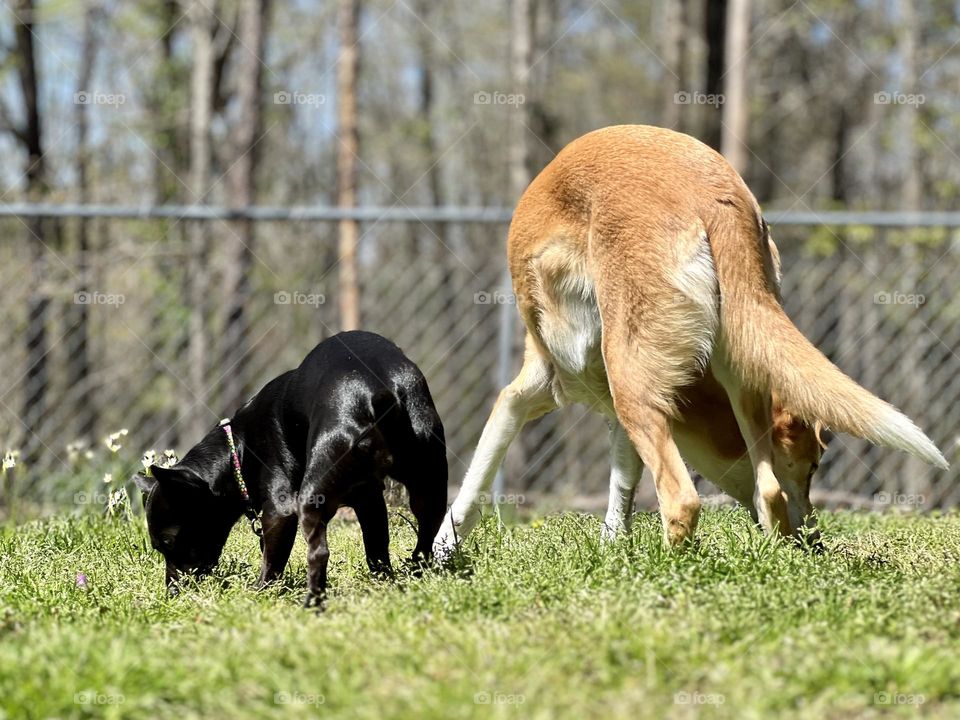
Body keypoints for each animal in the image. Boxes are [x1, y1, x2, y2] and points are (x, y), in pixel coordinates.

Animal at [134, 334, 446, 608]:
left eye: (168, 542)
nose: (172, 593)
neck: (238, 451)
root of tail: (378, 391)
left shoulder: (279, 512)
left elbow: (272, 563)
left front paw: (259, 595)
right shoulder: (368, 499)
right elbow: (377, 548)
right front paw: (385, 583)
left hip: (312, 497)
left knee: (319, 552)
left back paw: (311, 603)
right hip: (428, 484)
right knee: (426, 535)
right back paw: (417, 573)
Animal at [436, 126, 944, 552]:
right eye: (814, 466)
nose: (816, 542)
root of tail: (711, 191)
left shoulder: (532, 391)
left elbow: (477, 476)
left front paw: (441, 552)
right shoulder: (620, 417)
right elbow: (621, 490)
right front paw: (612, 548)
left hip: (630, 376)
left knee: (682, 499)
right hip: (742, 371)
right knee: (768, 492)